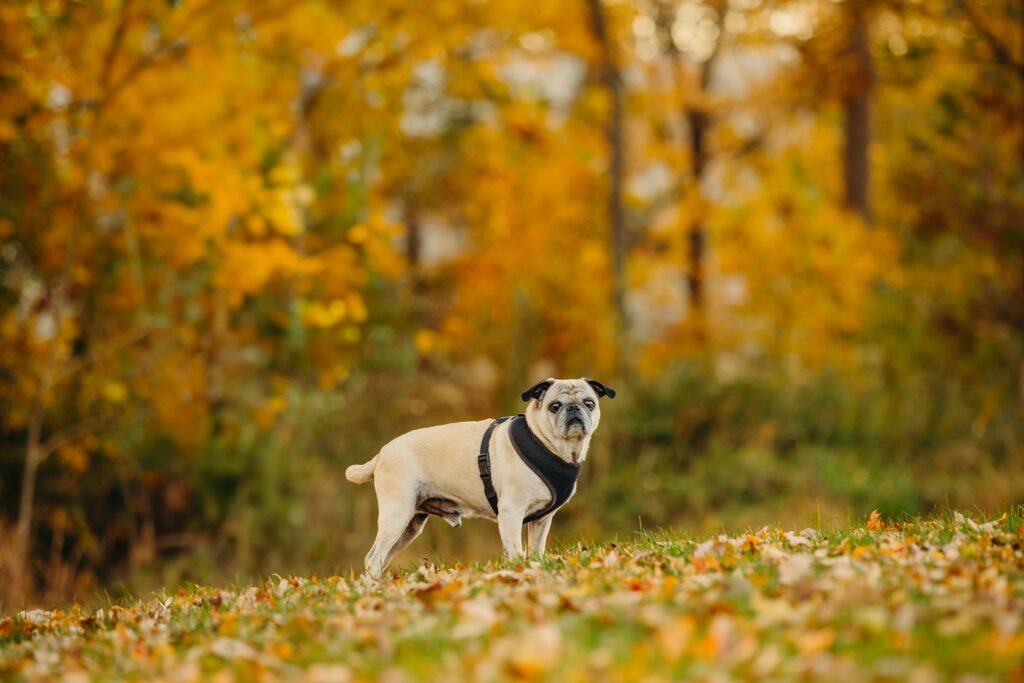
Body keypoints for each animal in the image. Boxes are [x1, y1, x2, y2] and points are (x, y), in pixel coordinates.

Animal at [344, 378, 614, 577]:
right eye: (555, 406)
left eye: (589, 403)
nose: (574, 408)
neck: (547, 444)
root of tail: (381, 454)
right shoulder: (511, 513)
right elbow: (516, 553)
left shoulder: (541, 521)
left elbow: (535, 551)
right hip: (397, 514)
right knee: (374, 558)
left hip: (409, 526)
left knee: (381, 558)